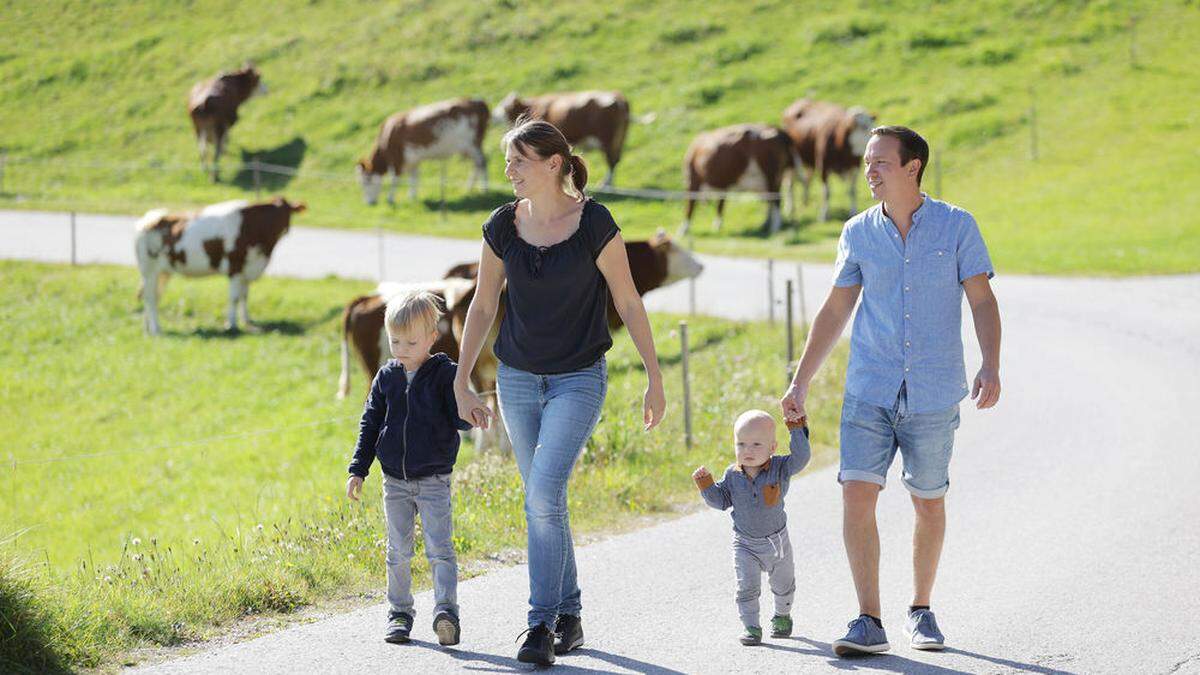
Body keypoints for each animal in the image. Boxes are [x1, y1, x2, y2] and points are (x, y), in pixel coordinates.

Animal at [134, 196, 304, 333]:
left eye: (288, 212)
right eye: (276, 216)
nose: (286, 229)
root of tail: (148, 219)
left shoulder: (246, 269)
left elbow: (244, 296)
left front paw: (247, 320)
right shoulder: (235, 268)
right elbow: (234, 298)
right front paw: (232, 325)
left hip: (163, 272)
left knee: (154, 296)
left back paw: (148, 327)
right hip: (149, 272)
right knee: (149, 297)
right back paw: (156, 330)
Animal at [355, 96, 487, 201]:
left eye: (366, 181)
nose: (369, 202)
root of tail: (477, 102)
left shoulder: (397, 159)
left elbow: (395, 179)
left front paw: (390, 199)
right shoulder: (413, 160)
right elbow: (414, 178)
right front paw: (412, 197)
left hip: (473, 144)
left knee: (482, 162)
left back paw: (485, 189)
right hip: (469, 147)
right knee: (476, 165)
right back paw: (469, 188)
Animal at [494, 90, 628, 187]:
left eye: (503, 105)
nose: (494, 115)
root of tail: (618, 98)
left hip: (607, 138)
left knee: (611, 160)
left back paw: (606, 183)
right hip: (620, 138)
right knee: (616, 159)